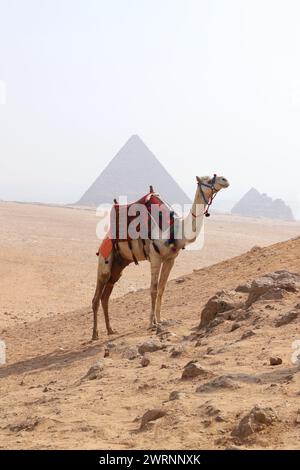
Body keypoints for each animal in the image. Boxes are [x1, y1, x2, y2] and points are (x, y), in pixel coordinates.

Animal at [91, 174, 230, 340]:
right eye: (208, 180)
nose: (225, 180)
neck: (175, 231)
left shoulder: (170, 259)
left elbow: (162, 288)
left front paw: (160, 320)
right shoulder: (155, 257)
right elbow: (153, 289)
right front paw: (151, 323)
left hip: (119, 265)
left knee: (105, 295)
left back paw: (110, 330)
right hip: (105, 258)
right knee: (97, 295)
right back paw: (95, 334)